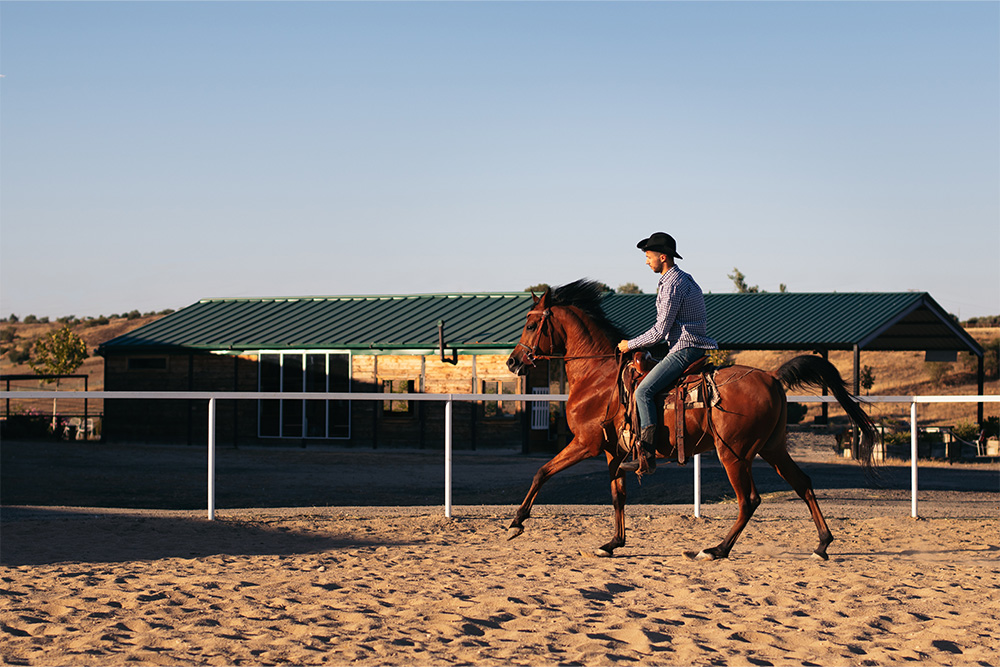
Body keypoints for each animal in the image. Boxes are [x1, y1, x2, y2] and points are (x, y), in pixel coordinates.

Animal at [508, 280, 876, 560]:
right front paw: (613, 543)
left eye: (531, 324)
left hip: (734, 454)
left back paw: (716, 550)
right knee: (803, 484)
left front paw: (516, 522)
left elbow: (542, 472)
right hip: (772, 448)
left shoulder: (586, 444)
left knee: (749, 500)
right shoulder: (614, 452)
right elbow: (617, 495)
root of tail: (771, 377)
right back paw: (822, 544)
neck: (598, 378)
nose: (513, 362)